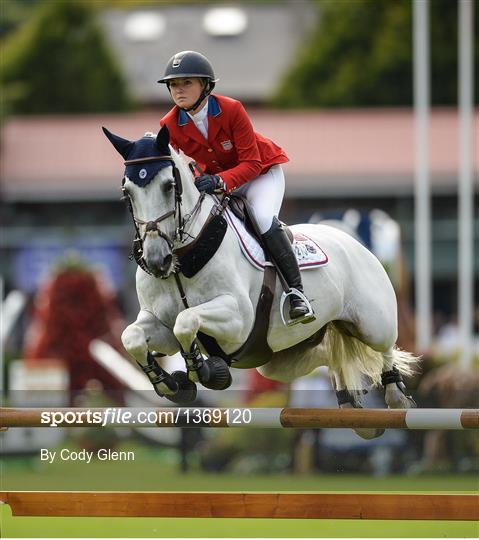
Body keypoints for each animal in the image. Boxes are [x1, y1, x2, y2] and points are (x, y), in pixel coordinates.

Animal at [104, 125, 416, 438]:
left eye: (169, 186)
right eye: (127, 192)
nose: (157, 260)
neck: (182, 260)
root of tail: (351, 240)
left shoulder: (238, 320)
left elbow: (187, 320)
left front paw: (207, 372)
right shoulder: (160, 323)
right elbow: (132, 337)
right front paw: (171, 384)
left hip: (373, 324)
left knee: (385, 348)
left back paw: (396, 397)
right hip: (282, 360)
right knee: (327, 356)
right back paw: (350, 402)